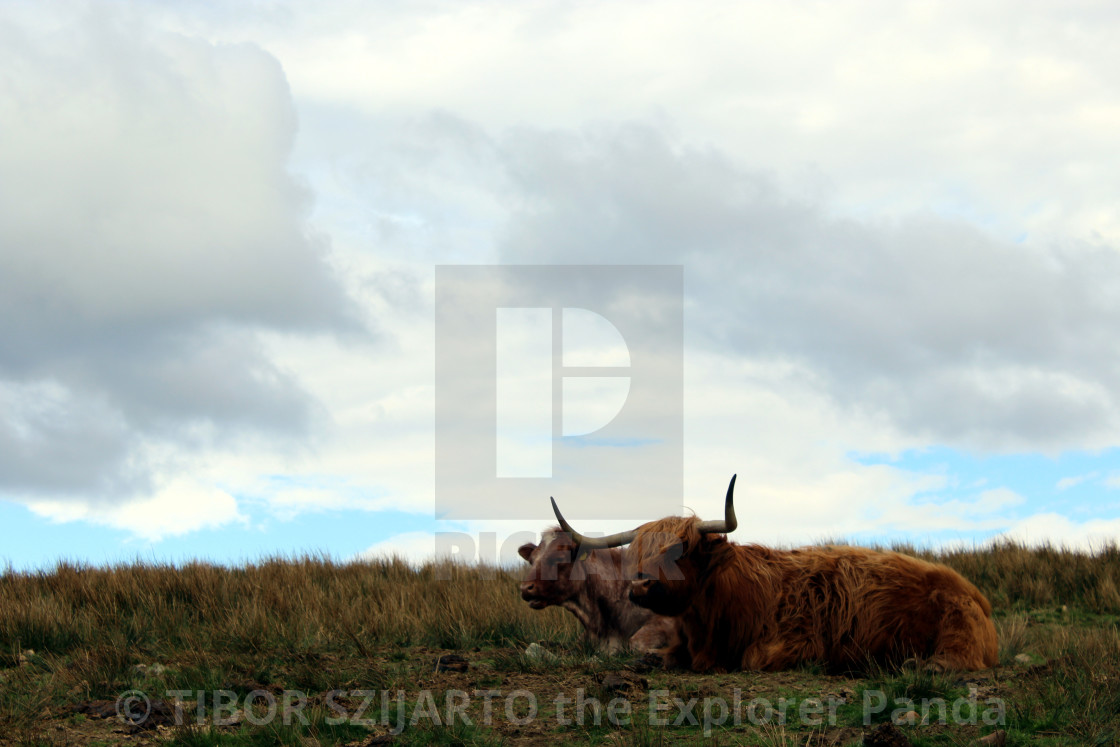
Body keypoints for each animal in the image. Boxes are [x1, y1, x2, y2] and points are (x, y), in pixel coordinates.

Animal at [551, 477, 999, 676]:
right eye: (640, 553)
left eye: (683, 551)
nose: (641, 585)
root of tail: (973, 592)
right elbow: (659, 656)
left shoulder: (796, 642)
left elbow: (751, 659)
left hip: (957, 628)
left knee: (960, 658)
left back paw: (922, 666)